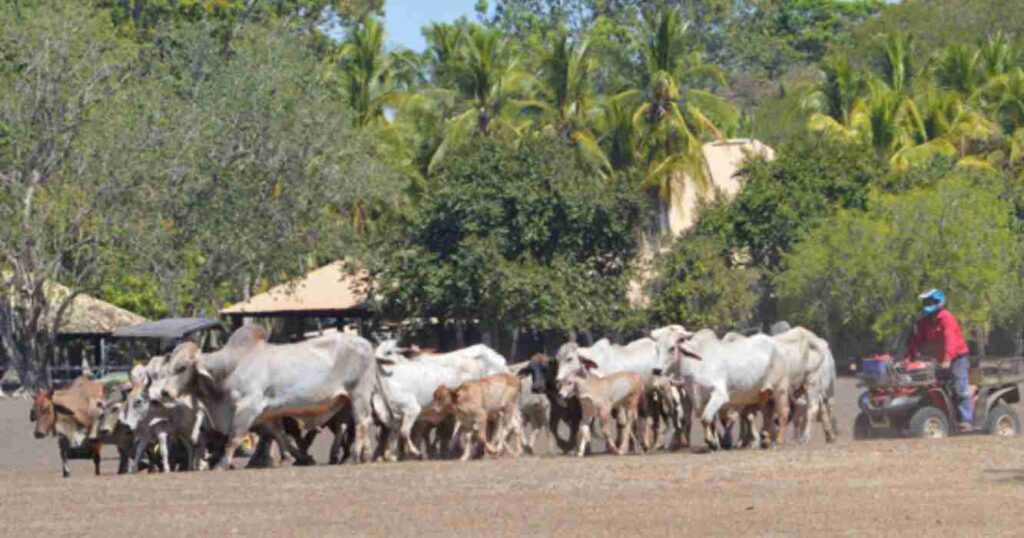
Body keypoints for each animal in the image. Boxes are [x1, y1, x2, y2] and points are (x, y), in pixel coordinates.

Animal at [372, 340, 507, 457]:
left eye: (390, 351)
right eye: (386, 351)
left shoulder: (412, 409)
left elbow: (404, 432)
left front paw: (415, 452)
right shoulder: (395, 417)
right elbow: (395, 433)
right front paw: (390, 454)